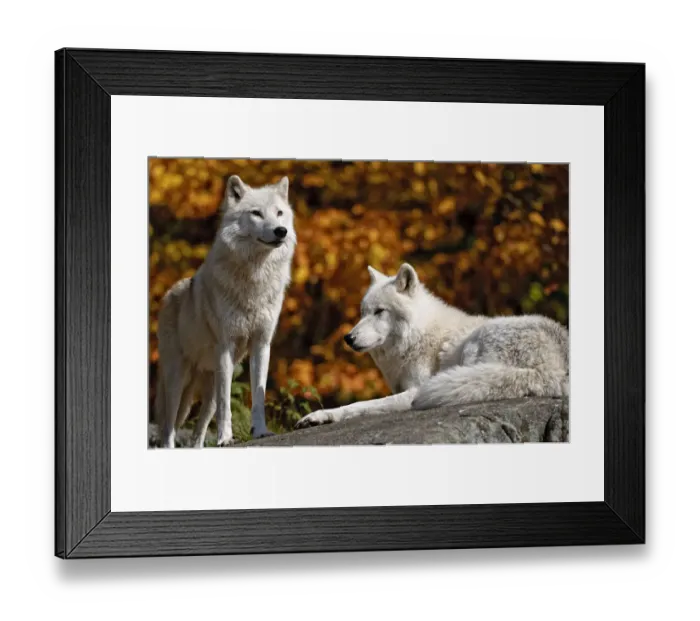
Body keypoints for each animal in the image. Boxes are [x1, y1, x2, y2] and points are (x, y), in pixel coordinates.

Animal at [155, 175, 296, 448]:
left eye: (279, 213)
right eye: (256, 213)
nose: (280, 231)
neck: (254, 278)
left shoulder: (262, 344)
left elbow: (259, 396)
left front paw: (260, 432)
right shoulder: (225, 346)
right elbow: (226, 405)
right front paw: (224, 438)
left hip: (208, 386)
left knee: (198, 433)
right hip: (178, 381)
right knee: (169, 427)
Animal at [296, 263, 568, 428]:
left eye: (379, 311)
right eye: (363, 312)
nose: (348, 338)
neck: (416, 335)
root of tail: (555, 370)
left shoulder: (414, 390)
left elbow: (360, 405)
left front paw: (320, 415)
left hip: (475, 344)